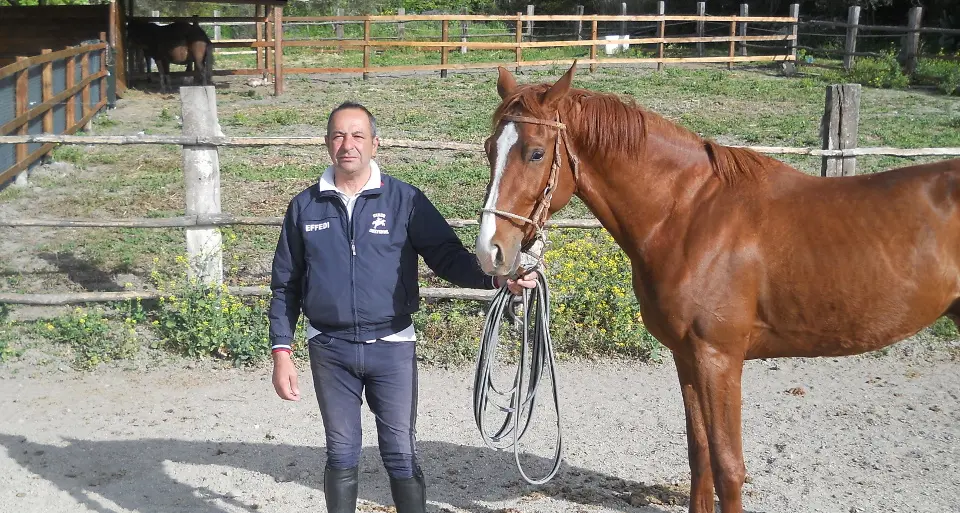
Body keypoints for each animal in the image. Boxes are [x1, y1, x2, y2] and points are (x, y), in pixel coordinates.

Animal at [476, 61, 960, 512]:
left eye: (536, 153)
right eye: (489, 149)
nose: (490, 251)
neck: (689, 216)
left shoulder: (719, 359)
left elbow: (728, 466)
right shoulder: (687, 357)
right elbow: (700, 455)